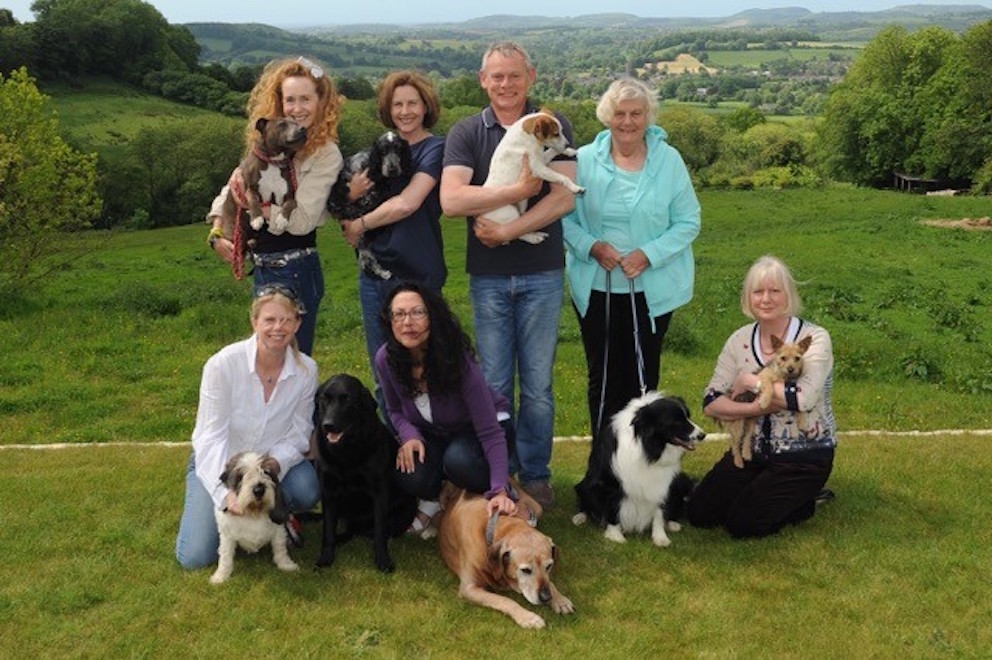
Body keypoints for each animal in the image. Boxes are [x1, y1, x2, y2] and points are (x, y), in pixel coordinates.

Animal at [440, 480, 572, 628]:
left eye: (549, 566)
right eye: (525, 570)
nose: (546, 597)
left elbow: (550, 582)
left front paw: (560, 599)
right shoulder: (469, 588)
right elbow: (505, 600)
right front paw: (527, 617)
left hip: (537, 507)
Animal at [724, 336, 808, 470]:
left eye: (797, 358)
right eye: (783, 358)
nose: (791, 369)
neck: (783, 376)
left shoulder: (793, 391)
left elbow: (797, 405)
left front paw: (803, 422)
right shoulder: (763, 377)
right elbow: (769, 387)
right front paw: (764, 401)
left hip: (751, 421)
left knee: (747, 437)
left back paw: (746, 454)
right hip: (738, 424)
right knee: (735, 442)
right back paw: (738, 461)